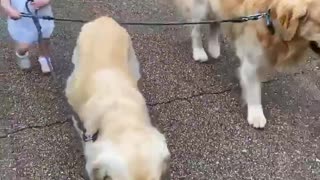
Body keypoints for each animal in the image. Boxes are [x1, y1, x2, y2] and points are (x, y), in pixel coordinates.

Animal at [175, 0, 320, 129]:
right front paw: (256, 115)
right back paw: (199, 51)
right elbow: (254, 90)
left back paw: (214, 48)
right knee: (196, 30)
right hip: (201, 8)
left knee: (215, 22)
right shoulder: (251, 60)